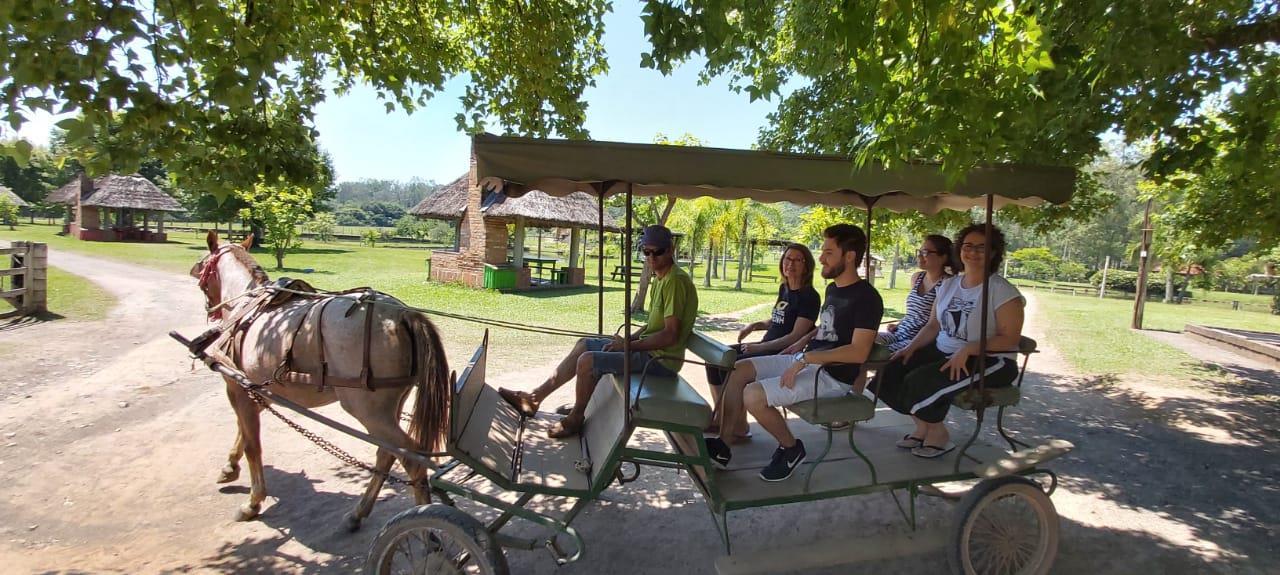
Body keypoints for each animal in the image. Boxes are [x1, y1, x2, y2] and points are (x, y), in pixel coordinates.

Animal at [189, 229, 450, 527]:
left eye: (201, 269)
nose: (211, 310)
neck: (248, 308)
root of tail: (402, 314)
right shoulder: (259, 390)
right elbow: (243, 434)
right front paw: (230, 467)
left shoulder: (238, 387)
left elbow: (252, 444)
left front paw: (253, 501)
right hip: (391, 405)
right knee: (386, 453)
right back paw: (359, 512)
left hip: (368, 409)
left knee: (413, 461)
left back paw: (425, 523)